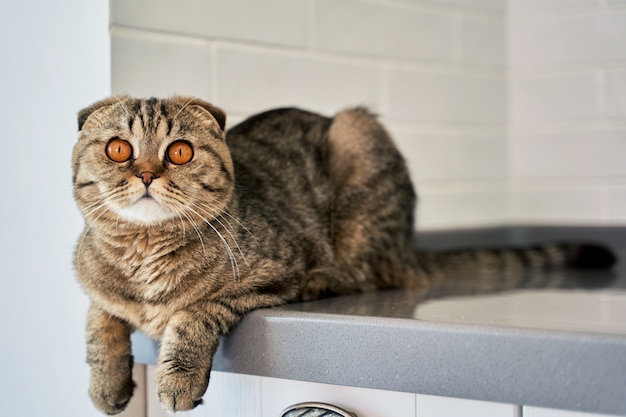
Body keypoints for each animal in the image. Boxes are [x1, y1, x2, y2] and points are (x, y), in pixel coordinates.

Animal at [73, 95, 616, 412]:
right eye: (119, 149)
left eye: (179, 152)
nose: (147, 173)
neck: (144, 254)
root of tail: (410, 248)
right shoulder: (93, 289)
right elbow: (98, 325)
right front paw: (107, 386)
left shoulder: (273, 274)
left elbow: (195, 311)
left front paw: (177, 376)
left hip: (359, 144)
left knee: (365, 274)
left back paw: (326, 280)